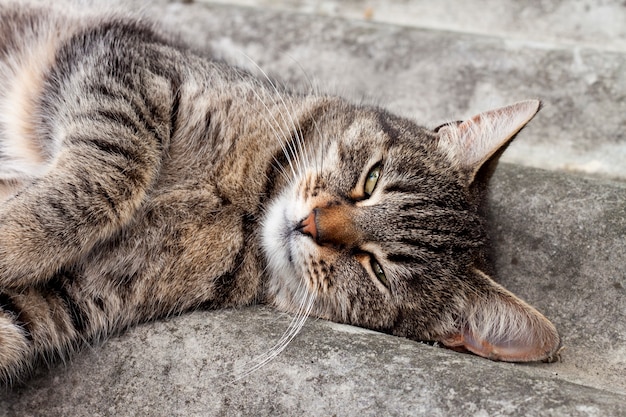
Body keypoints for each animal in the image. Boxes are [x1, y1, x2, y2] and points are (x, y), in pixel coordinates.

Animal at [0, 2, 560, 384]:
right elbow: (108, 173)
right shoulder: (128, 60)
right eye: (371, 179)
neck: (246, 208)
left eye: (376, 271)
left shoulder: (73, 295)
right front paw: (16, 235)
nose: (311, 223)